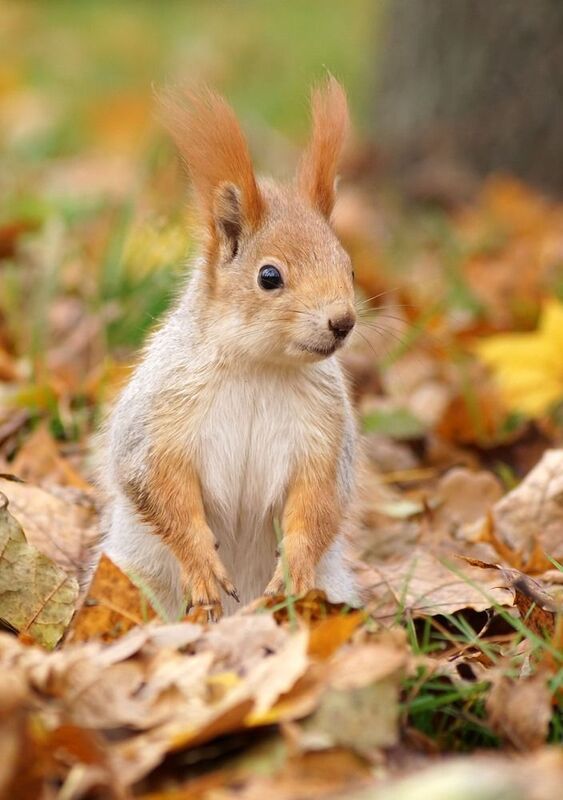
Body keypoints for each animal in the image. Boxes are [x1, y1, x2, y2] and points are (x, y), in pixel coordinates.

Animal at [101, 78, 361, 621]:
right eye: (269, 276)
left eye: (349, 267)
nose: (343, 322)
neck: (259, 365)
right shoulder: (162, 418)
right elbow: (157, 486)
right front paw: (201, 564)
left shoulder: (325, 436)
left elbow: (321, 501)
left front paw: (294, 567)